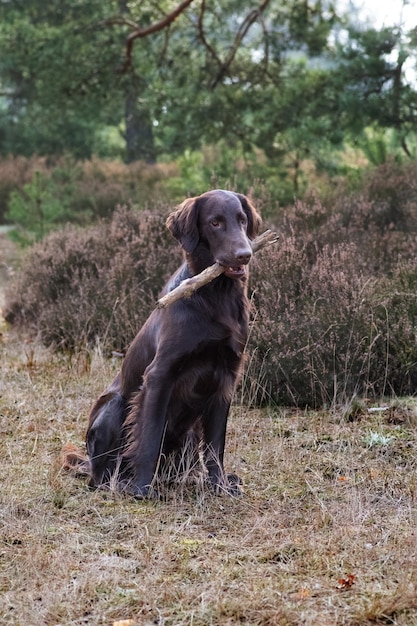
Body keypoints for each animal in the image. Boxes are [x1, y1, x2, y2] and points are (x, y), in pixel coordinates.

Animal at [61, 190, 260, 498]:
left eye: (242, 220)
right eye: (215, 222)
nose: (244, 254)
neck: (215, 295)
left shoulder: (226, 376)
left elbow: (216, 445)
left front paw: (220, 486)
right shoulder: (159, 375)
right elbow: (150, 437)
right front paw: (143, 489)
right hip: (114, 407)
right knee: (99, 475)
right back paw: (120, 483)